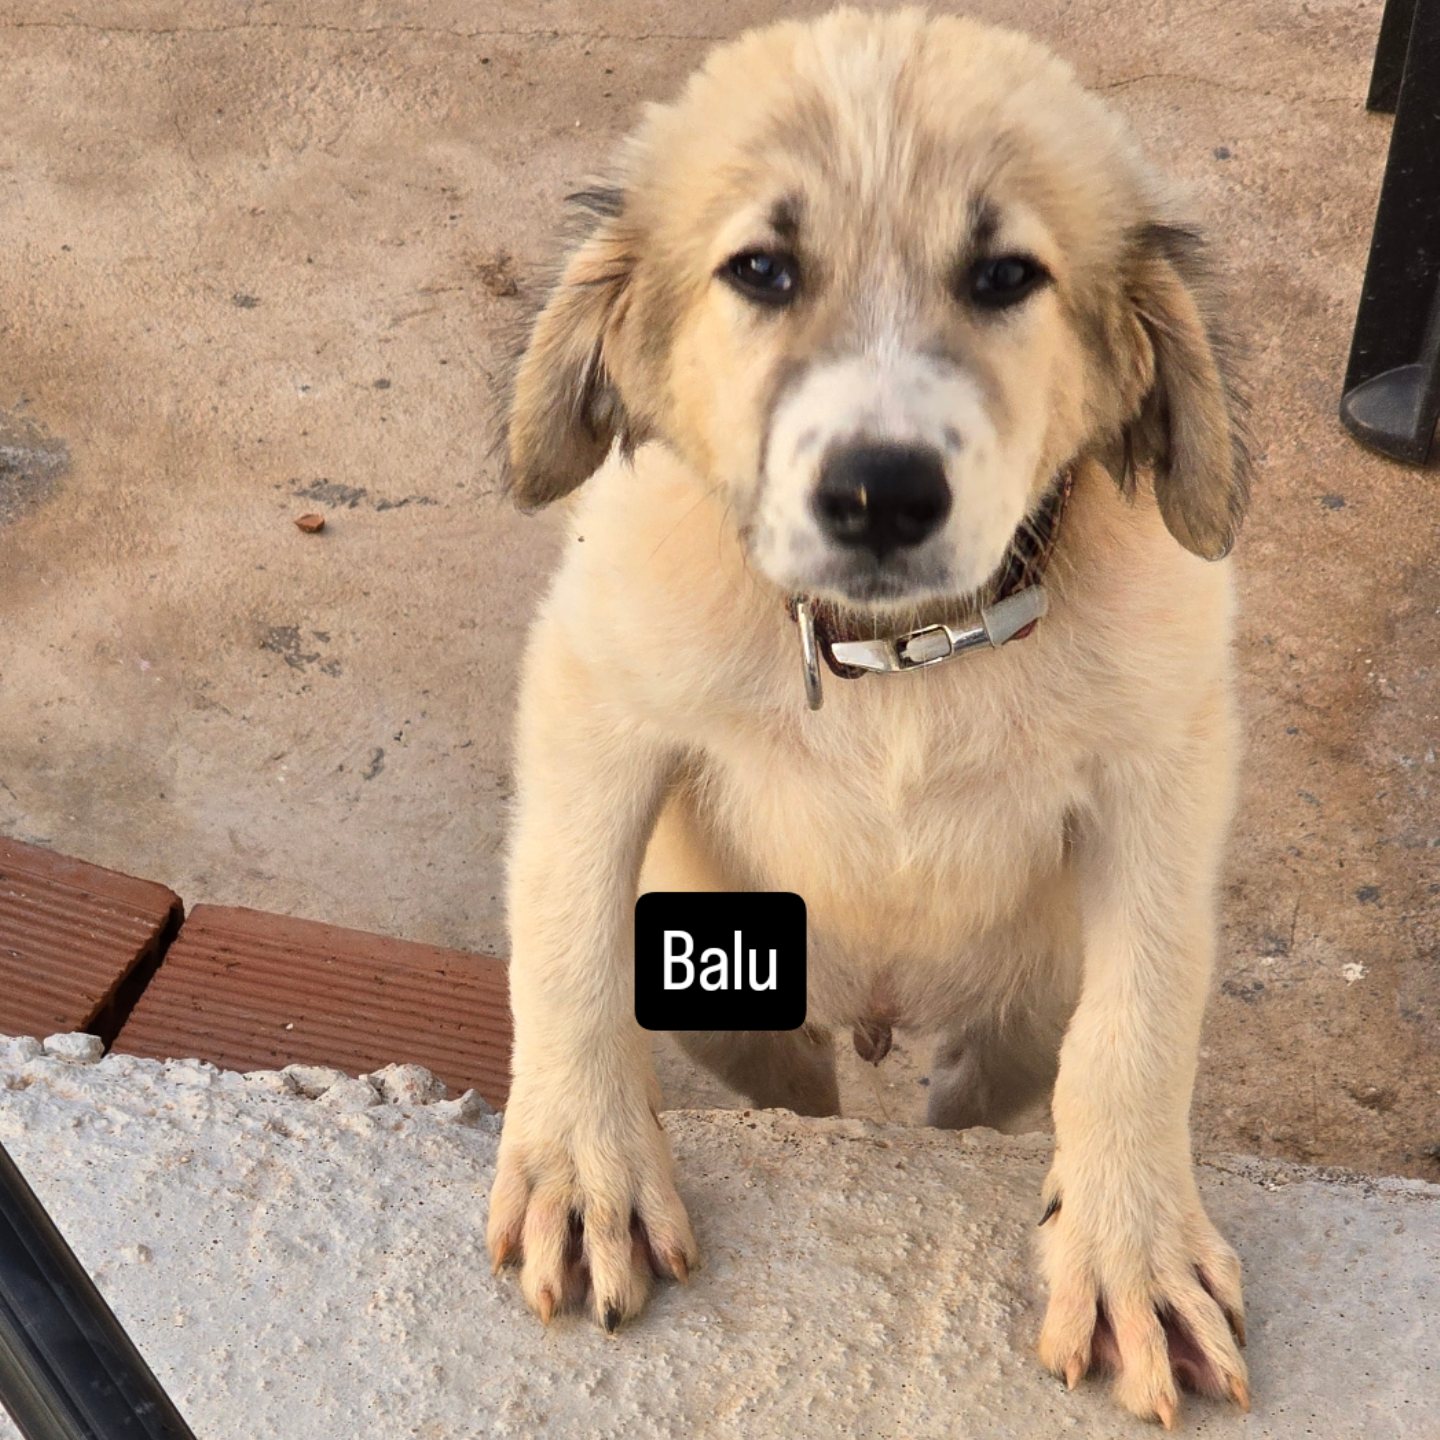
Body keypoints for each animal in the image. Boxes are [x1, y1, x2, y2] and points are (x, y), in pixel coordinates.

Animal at [486, 9, 1252, 1427]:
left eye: (1006, 275)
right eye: (762, 270)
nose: (879, 492)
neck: (903, 657)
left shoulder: (1163, 769)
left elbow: (1143, 1016)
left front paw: (1131, 1246)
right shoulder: (595, 694)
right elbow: (565, 930)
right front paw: (581, 1161)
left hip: (1018, 1014)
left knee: (996, 1084)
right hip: (732, 996)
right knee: (792, 1079)